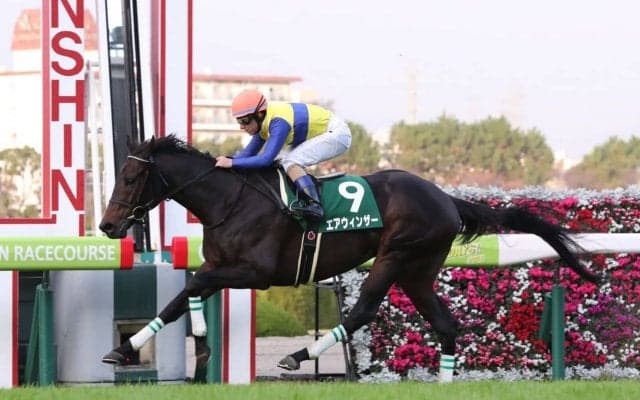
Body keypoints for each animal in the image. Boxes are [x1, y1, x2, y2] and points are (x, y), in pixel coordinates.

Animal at [98, 134, 598, 381]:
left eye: (130, 177)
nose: (106, 226)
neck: (230, 201)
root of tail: (447, 198)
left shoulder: (255, 272)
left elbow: (192, 286)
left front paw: (175, 350)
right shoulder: (220, 265)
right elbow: (182, 297)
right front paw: (129, 349)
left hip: (395, 255)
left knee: (362, 310)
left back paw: (298, 355)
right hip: (418, 272)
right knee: (446, 324)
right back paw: (444, 383)